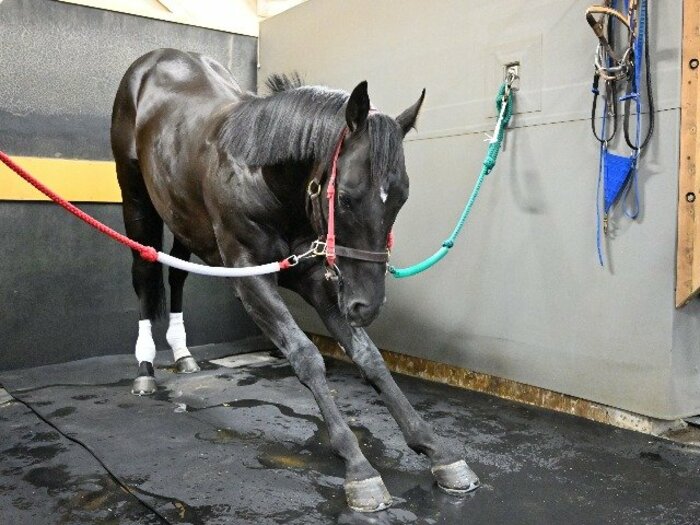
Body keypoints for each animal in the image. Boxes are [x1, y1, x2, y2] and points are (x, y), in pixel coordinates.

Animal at [110, 48, 479, 512]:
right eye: (346, 197)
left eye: (401, 198)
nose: (368, 306)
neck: (262, 178)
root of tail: (155, 60)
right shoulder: (249, 277)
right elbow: (306, 355)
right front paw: (358, 467)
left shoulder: (314, 276)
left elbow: (370, 357)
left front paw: (436, 450)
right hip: (135, 197)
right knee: (144, 271)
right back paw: (144, 367)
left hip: (181, 217)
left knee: (176, 274)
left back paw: (183, 354)